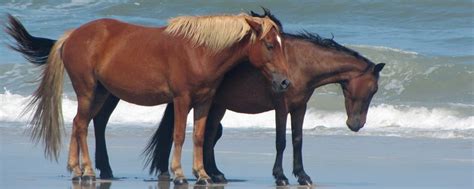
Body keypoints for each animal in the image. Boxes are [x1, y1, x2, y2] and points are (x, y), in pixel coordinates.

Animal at [5, 11, 288, 185]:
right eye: (269, 45)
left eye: (281, 44)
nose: (285, 82)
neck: (199, 50)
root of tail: (72, 35)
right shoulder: (181, 100)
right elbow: (179, 135)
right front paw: (179, 174)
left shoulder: (204, 101)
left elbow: (198, 136)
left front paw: (202, 174)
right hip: (88, 90)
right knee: (83, 126)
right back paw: (87, 172)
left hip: (101, 93)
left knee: (78, 124)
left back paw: (77, 170)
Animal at [143, 11, 386, 186]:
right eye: (372, 89)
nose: (356, 125)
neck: (300, 64)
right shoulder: (281, 106)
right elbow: (281, 141)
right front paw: (281, 176)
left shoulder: (299, 107)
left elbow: (297, 140)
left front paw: (302, 175)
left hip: (217, 106)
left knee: (210, 134)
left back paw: (214, 173)